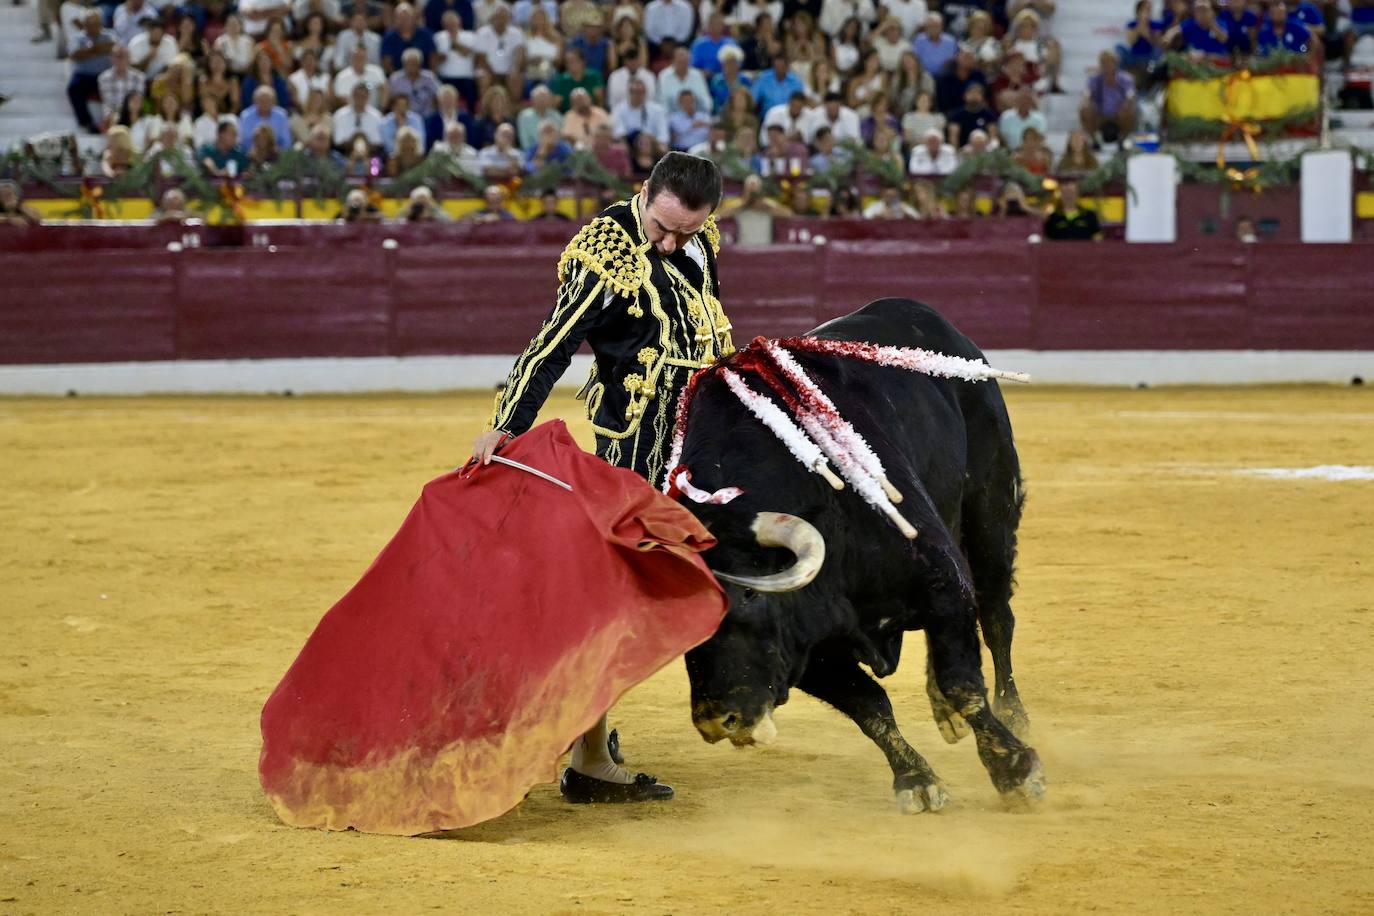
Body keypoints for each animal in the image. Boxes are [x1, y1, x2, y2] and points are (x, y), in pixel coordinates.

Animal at [673, 298, 1038, 813]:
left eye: (749, 597)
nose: (714, 720)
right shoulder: (810, 647)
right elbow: (870, 706)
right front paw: (915, 779)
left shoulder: (939, 580)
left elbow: (964, 683)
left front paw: (1015, 770)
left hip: (990, 511)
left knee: (995, 616)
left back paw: (1014, 713)